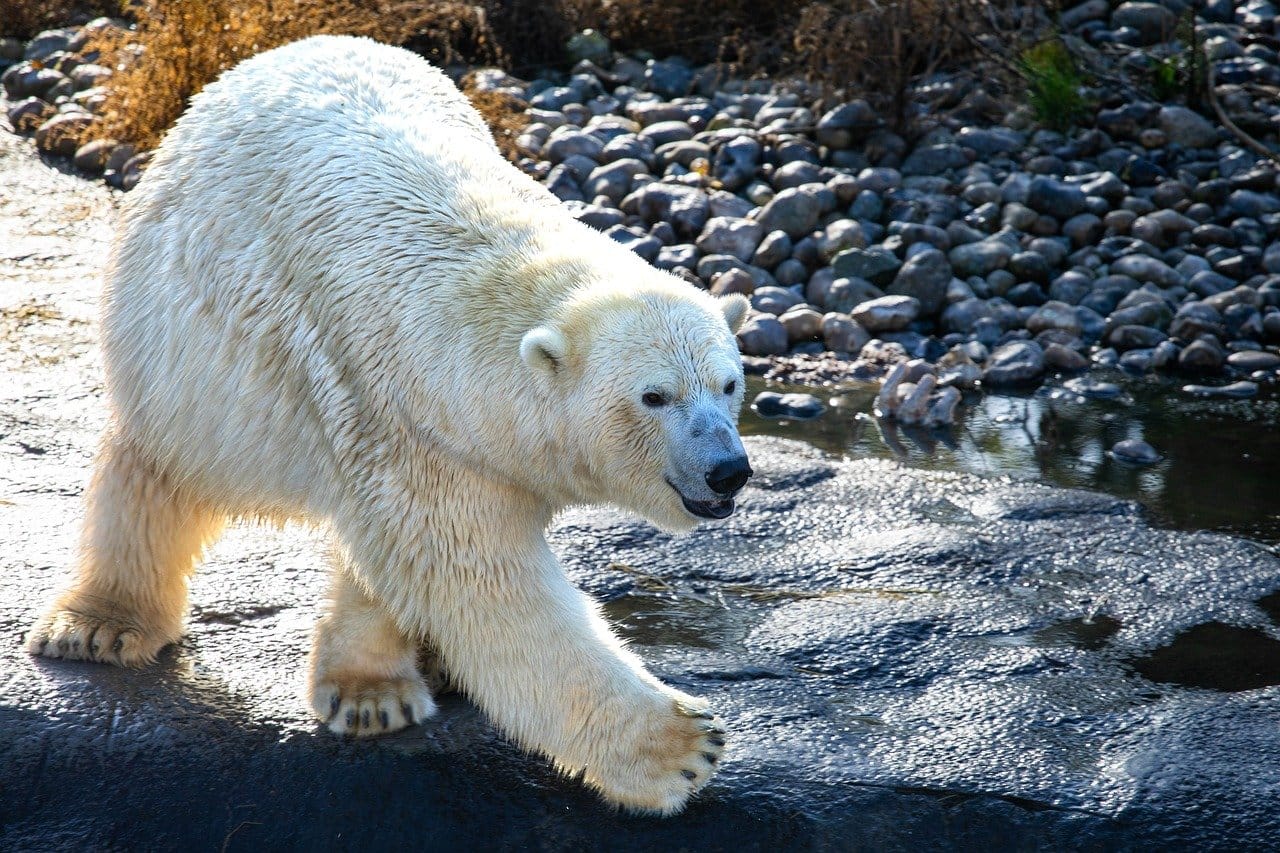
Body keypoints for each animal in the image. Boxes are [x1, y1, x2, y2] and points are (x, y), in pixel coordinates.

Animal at [24, 35, 753, 815]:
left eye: (729, 383)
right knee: (158, 468)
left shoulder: (415, 433)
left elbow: (401, 562)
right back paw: (100, 625)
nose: (728, 470)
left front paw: (375, 691)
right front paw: (683, 746)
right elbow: (485, 585)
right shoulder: (396, 413)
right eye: (655, 396)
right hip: (177, 343)